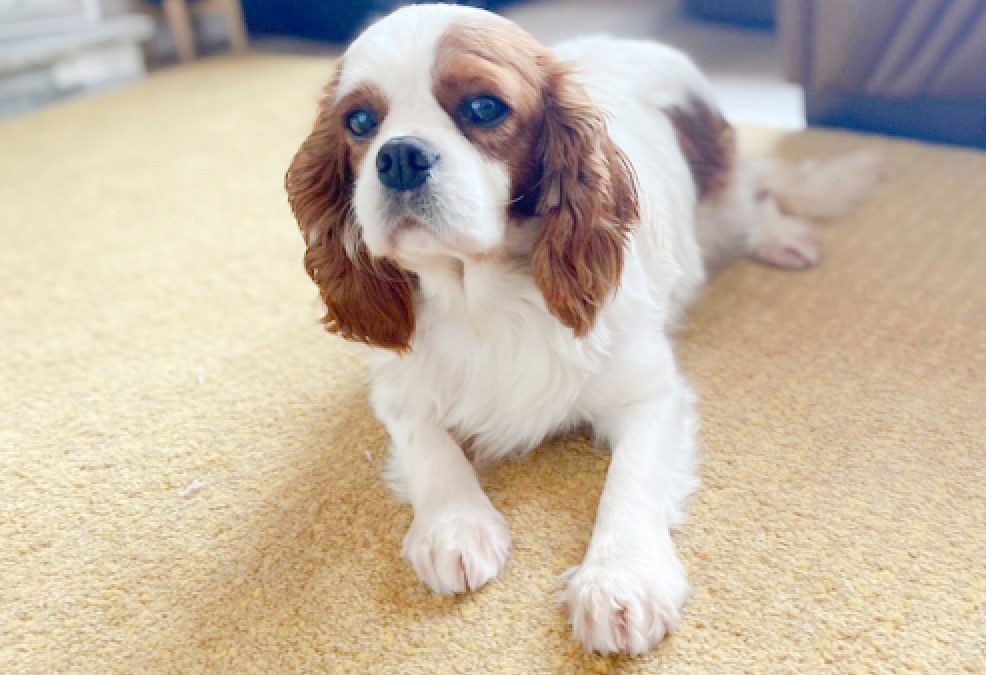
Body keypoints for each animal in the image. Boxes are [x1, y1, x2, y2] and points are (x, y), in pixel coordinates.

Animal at [284, 1, 876, 656]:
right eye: (360, 121)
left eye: (484, 107)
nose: (399, 156)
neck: (484, 295)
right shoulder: (399, 388)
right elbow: (428, 446)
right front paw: (455, 525)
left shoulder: (650, 395)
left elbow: (630, 480)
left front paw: (622, 578)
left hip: (721, 200)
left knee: (756, 198)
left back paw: (780, 237)